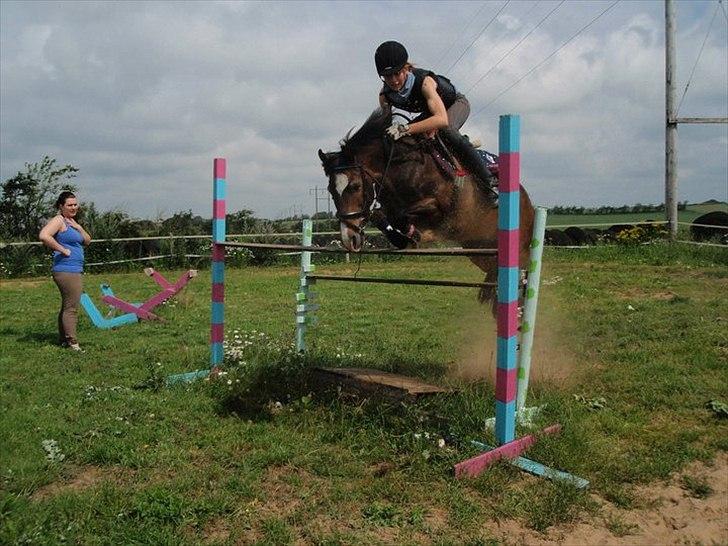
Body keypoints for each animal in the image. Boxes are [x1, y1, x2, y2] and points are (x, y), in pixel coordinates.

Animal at [318, 106, 536, 306]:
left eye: (354, 186)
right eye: (330, 190)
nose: (349, 238)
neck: (402, 165)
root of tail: (529, 203)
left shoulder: (441, 208)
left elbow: (401, 215)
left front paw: (412, 234)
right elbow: (381, 215)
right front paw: (404, 237)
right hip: (479, 249)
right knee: (493, 273)